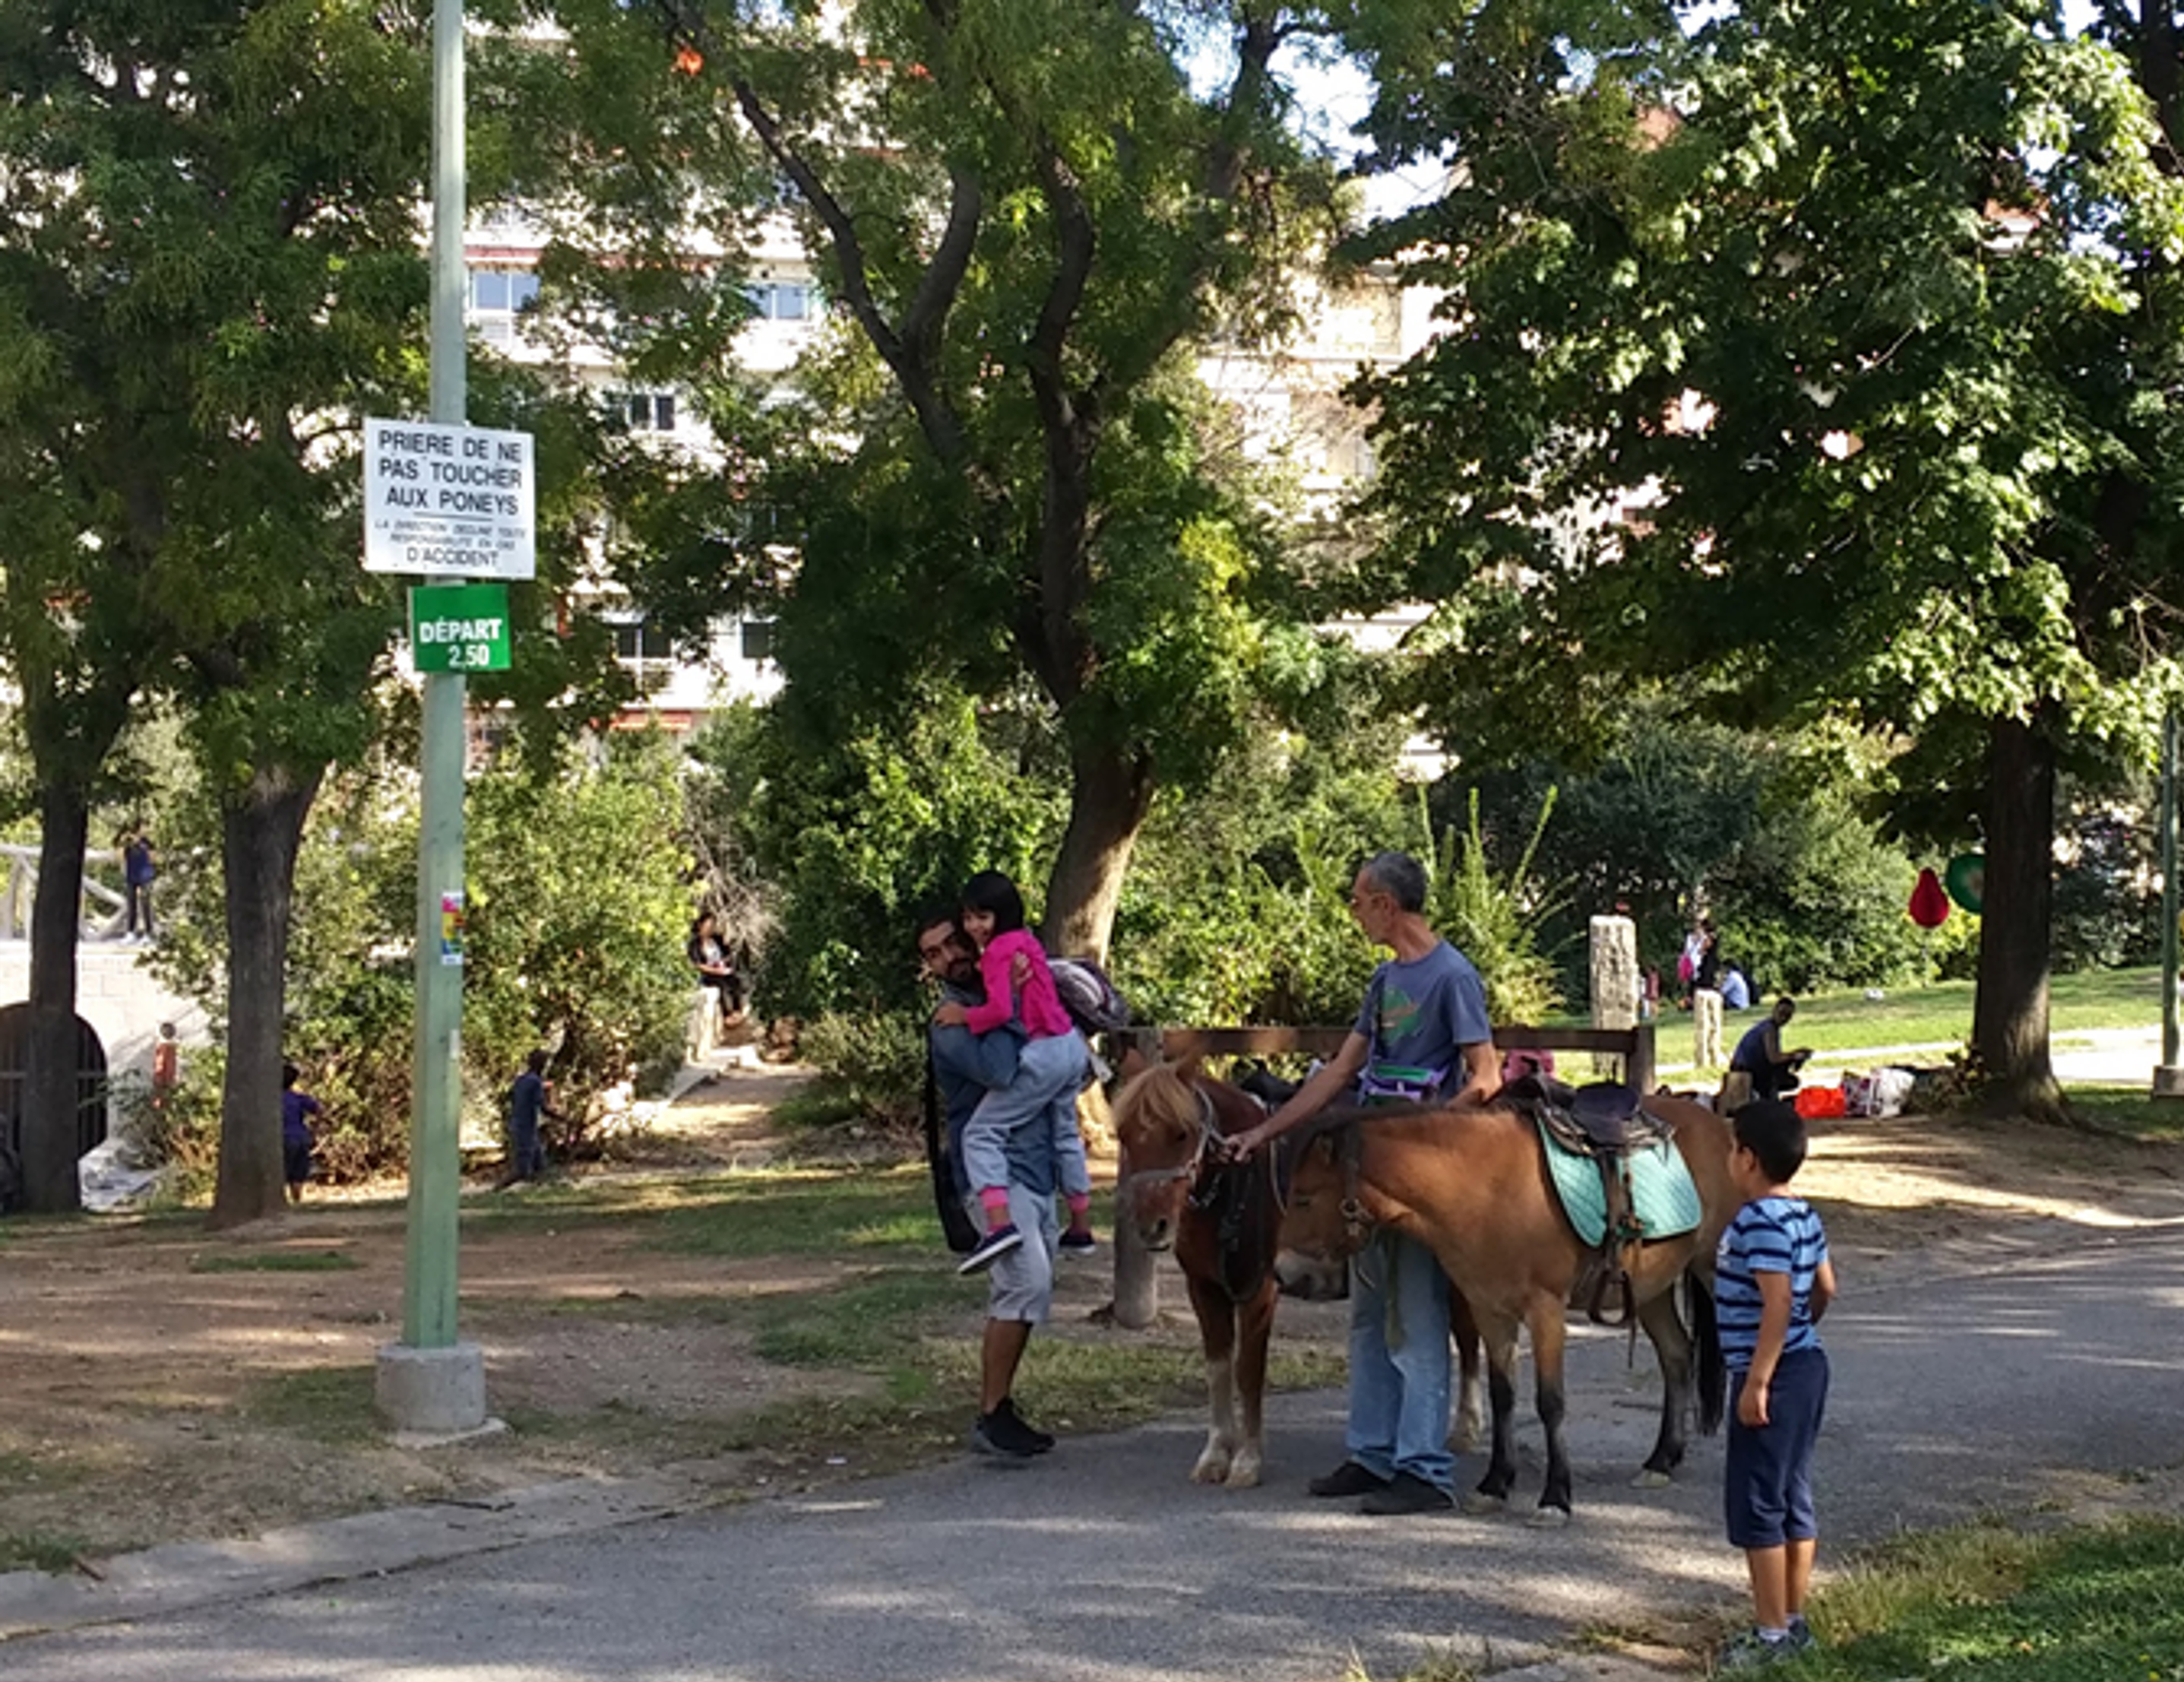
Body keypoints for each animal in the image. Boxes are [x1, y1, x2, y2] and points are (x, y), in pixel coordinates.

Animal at [1118, 1061, 1493, 1485]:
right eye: (1125, 1135)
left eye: (1181, 1133)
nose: (1152, 1226)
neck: (1240, 1184)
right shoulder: (1204, 1288)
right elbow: (1218, 1369)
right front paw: (1215, 1456)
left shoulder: (1259, 1291)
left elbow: (1248, 1371)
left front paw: (1247, 1461)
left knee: (1467, 1337)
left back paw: (1465, 1429)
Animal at [1275, 1088, 1730, 1520]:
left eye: (1303, 1198)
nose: (1282, 1273)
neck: (1488, 1188)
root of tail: (1719, 1126)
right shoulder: (1489, 1310)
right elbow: (1503, 1396)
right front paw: (1495, 1485)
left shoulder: (1546, 1311)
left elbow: (1551, 1402)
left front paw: (1555, 1498)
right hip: (1651, 1288)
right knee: (1677, 1356)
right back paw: (1661, 1461)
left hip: (1712, 1271)